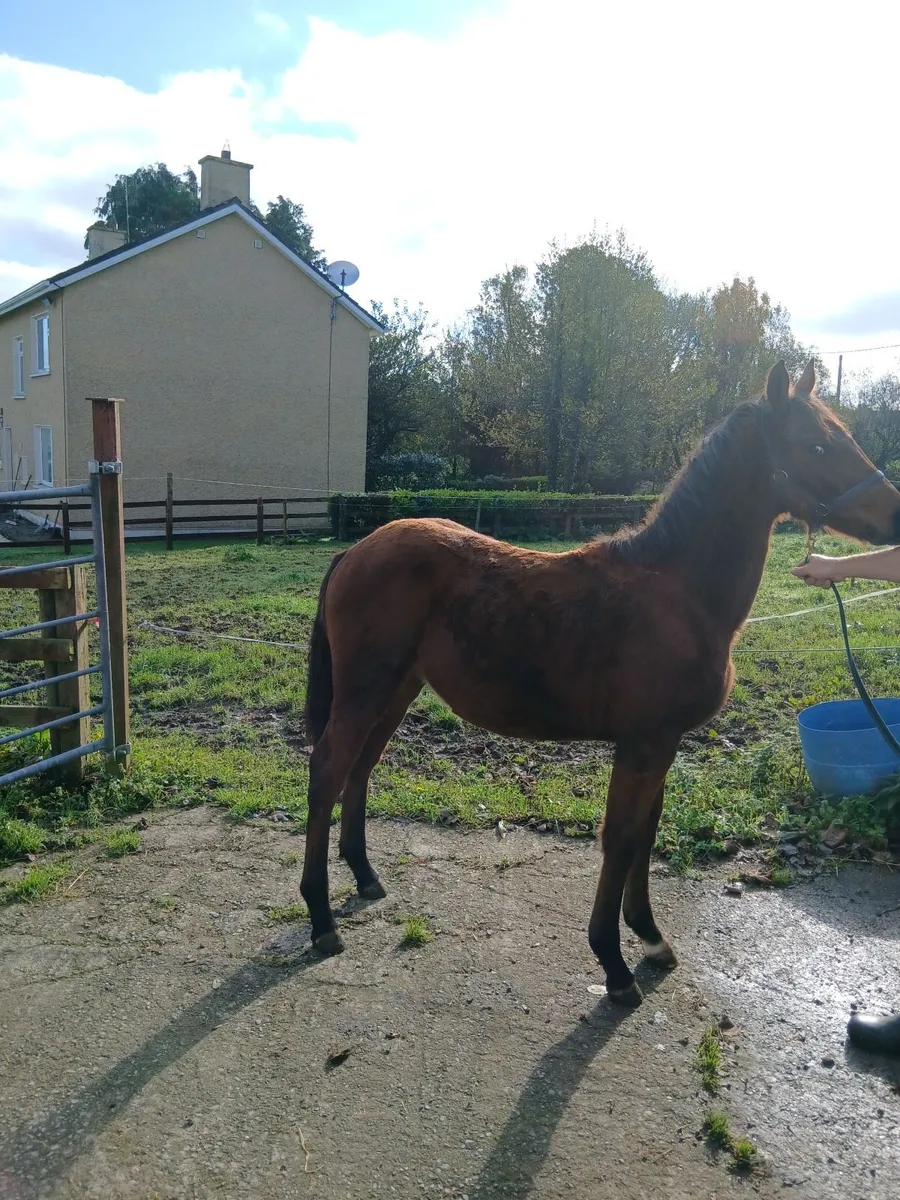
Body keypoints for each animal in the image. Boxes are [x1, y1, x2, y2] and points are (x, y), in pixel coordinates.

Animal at [300, 360, 900, 1006]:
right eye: (816, 445)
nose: (896, 515)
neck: (679, 592)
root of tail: (354, 551)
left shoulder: (663, 743)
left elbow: (645, 834)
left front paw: (652, 939)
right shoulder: (643, 742)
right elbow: (620, 837)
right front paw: (614, 965)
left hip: (397, 690)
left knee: (360, 769)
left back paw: (365, 878)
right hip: (364, 690)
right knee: (327, 771)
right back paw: (321, 920)